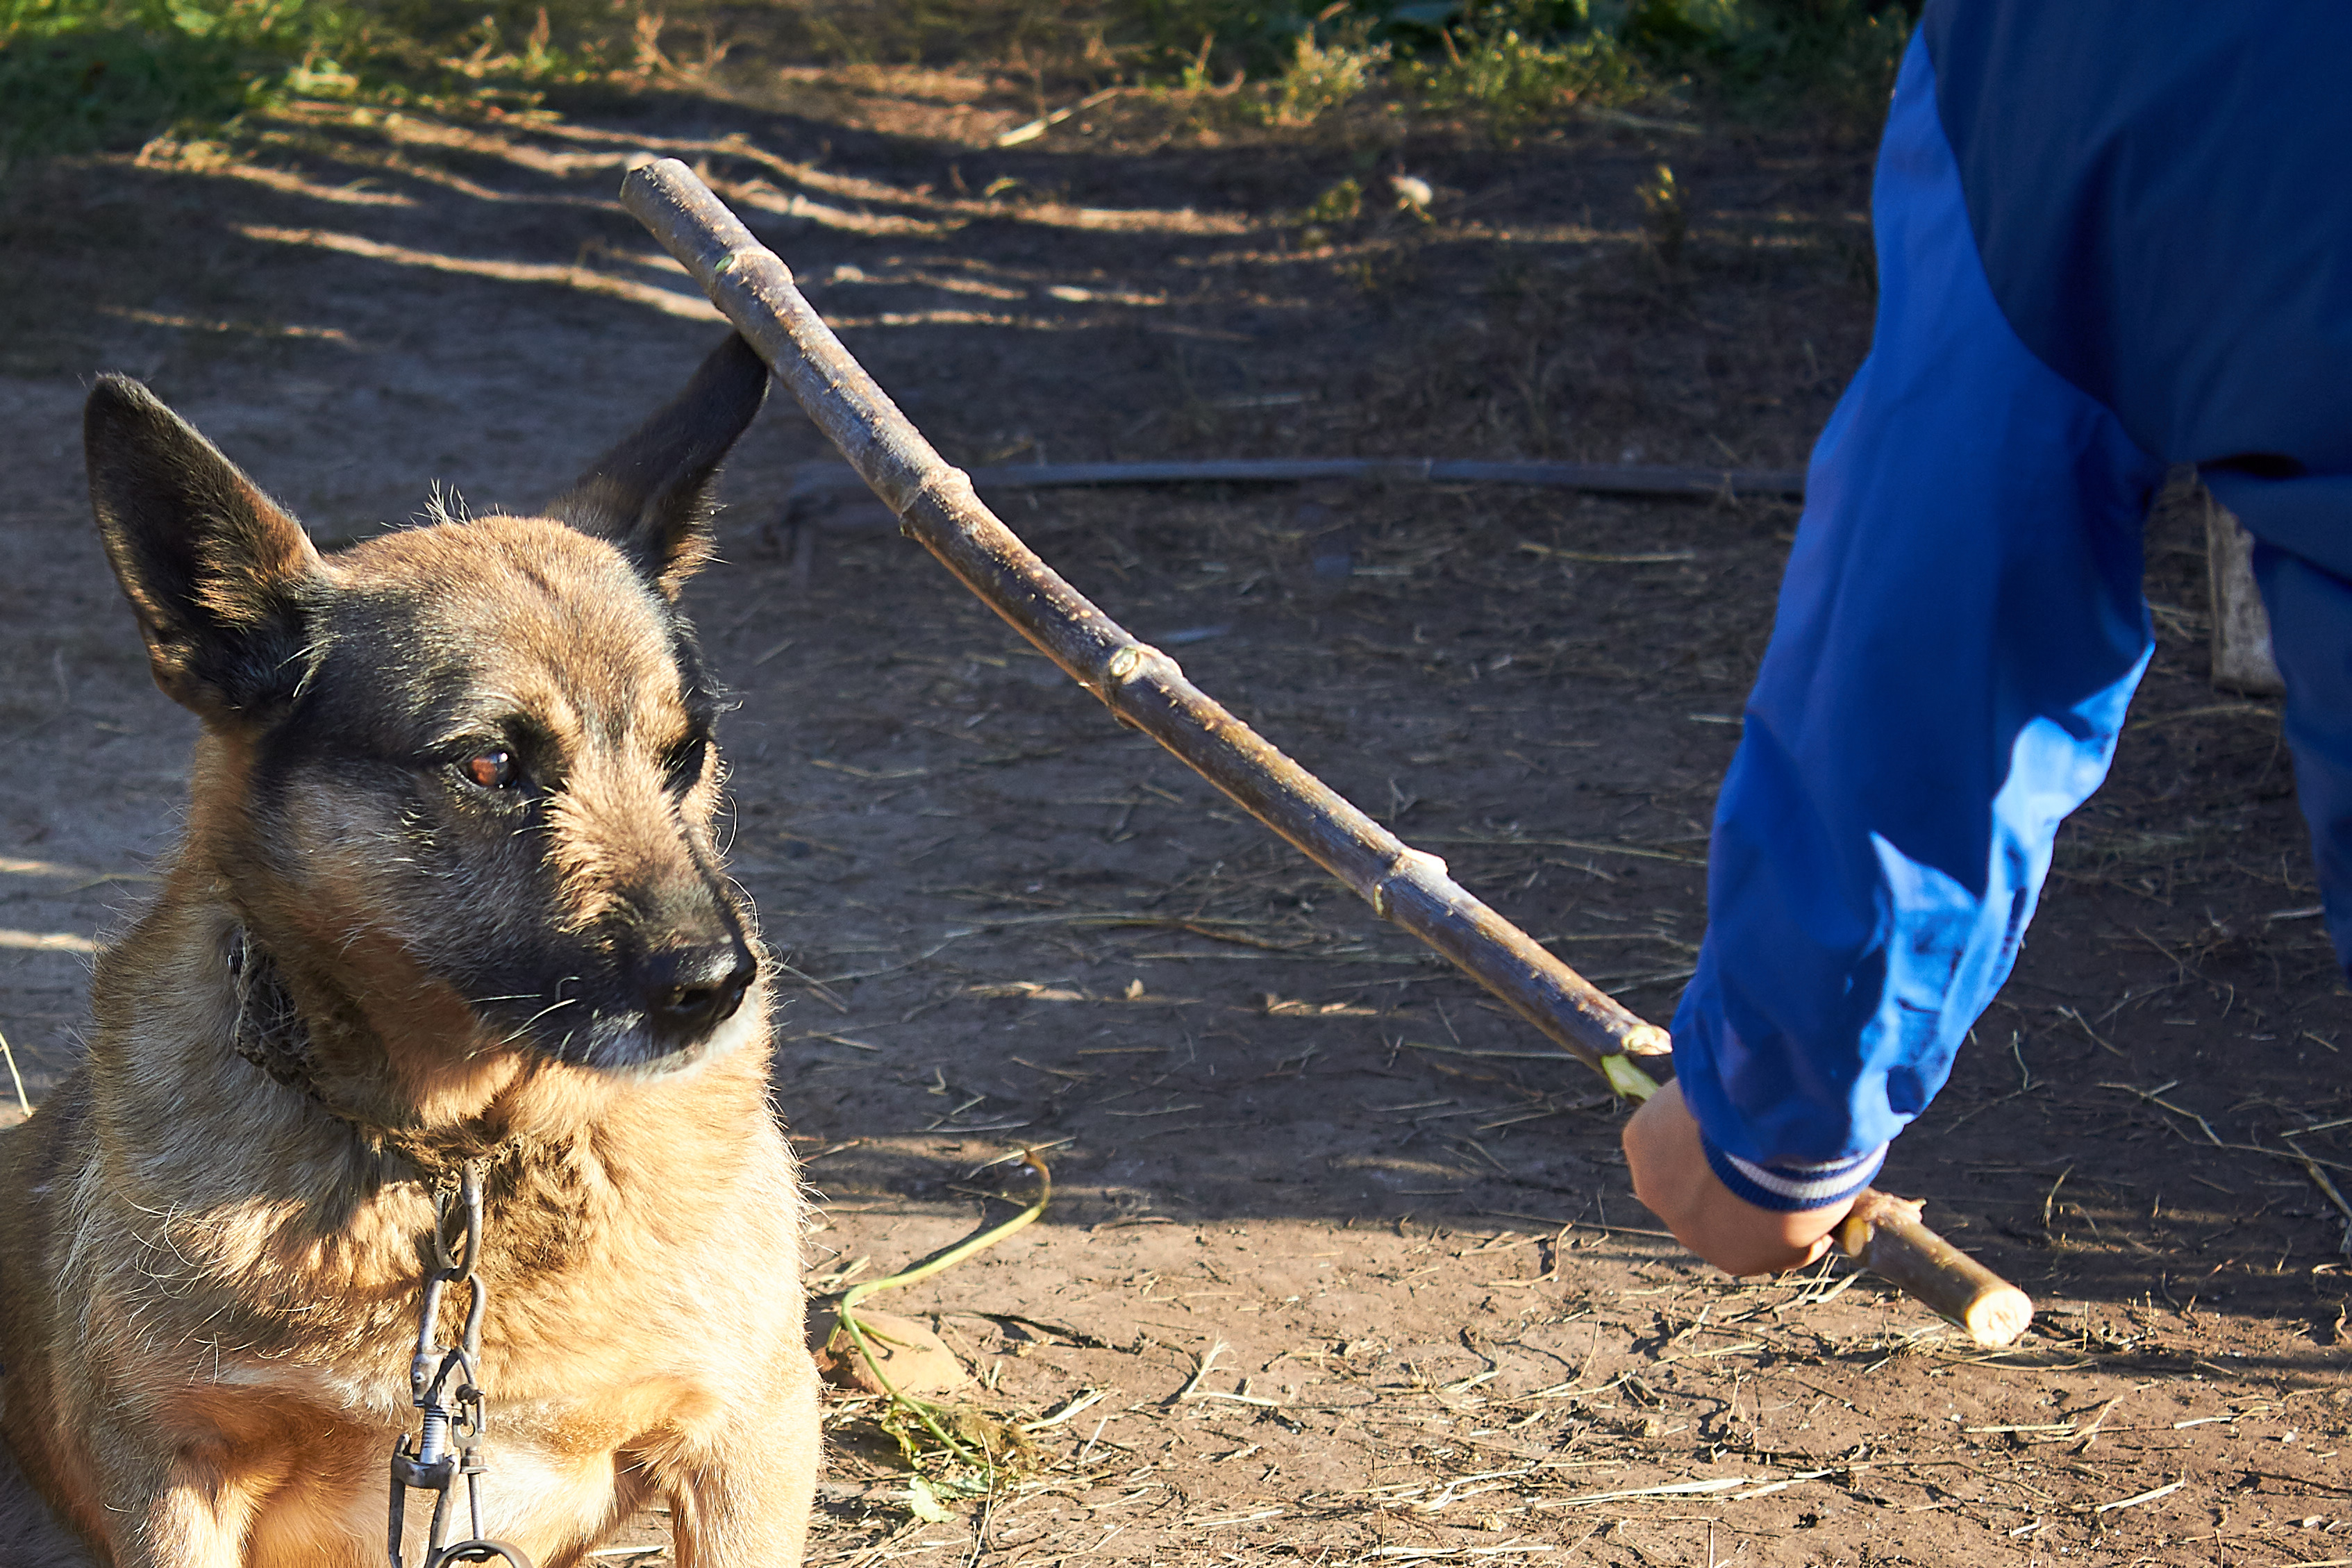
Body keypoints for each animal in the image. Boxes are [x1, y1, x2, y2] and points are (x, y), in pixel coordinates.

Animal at [0, 338, 823, 1560]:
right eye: (488, 764)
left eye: (687, 752)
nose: (719, 985)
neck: (458, 1163)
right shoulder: (168, 1474)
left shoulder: (748, 1438)